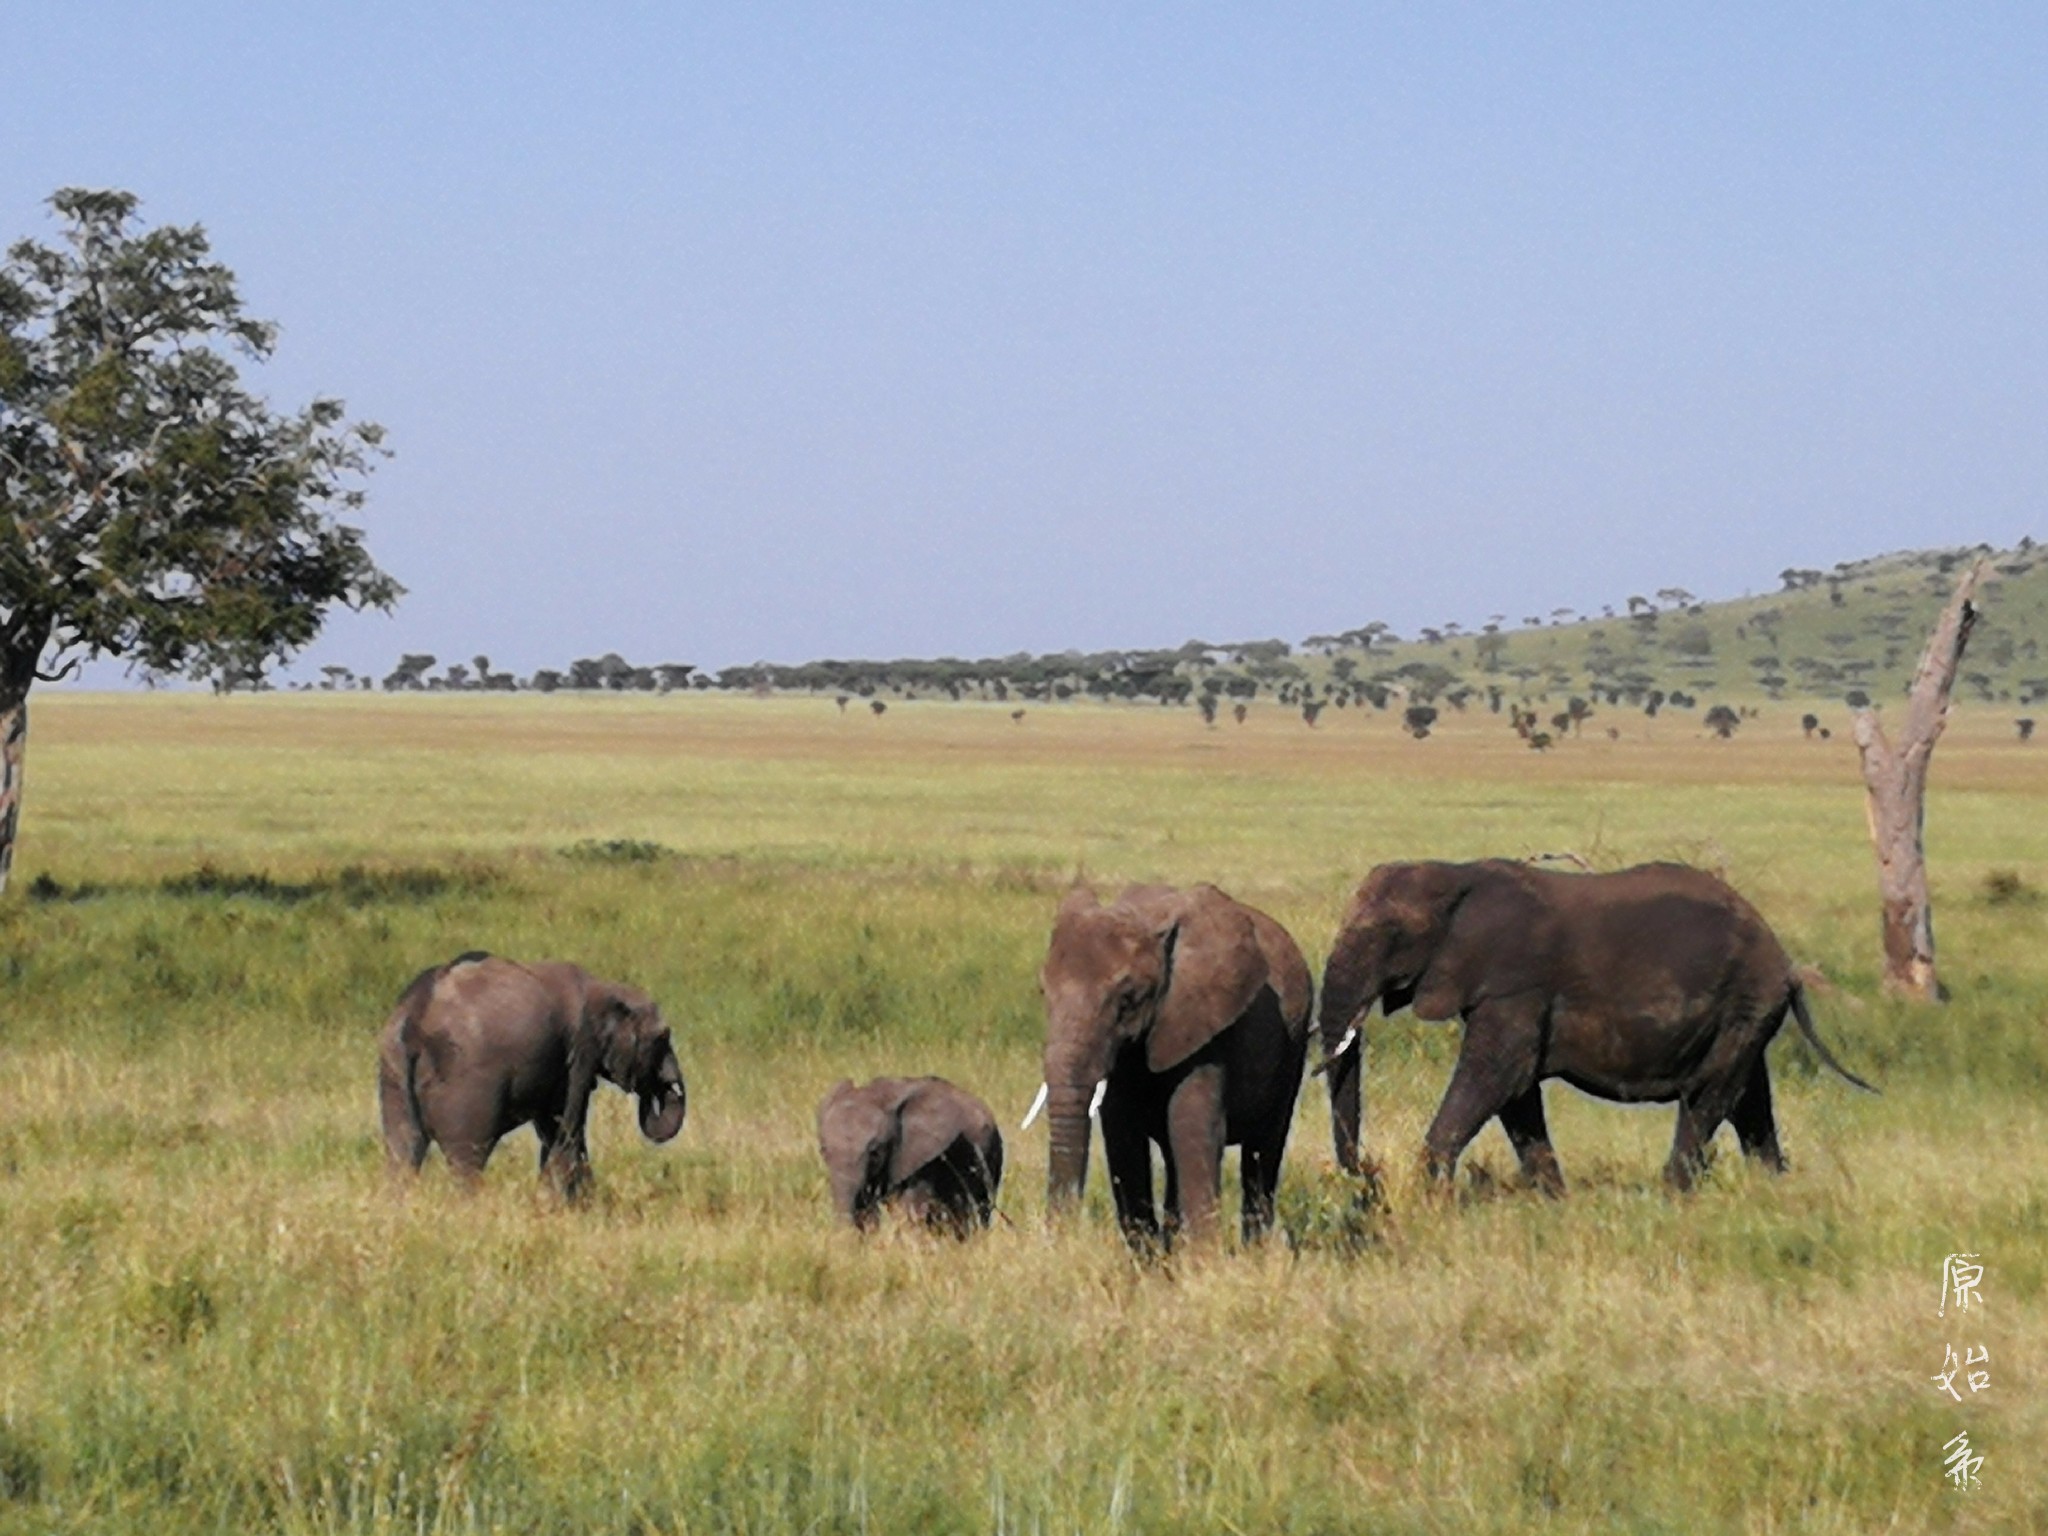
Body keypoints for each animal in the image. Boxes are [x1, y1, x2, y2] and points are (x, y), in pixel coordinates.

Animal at [372, 950, 684, 1204]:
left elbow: (553, 1127)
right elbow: (566, 1130)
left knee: (403, 1149)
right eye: (662, 1037)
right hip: (464, 1087)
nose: (660, 1088)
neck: (603, 987)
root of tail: (416, 1017)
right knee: (467, 1159)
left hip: (393, 1066)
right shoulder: (580, 1051)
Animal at [1024, 888, 1310, 1253]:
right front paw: (1152, 1262)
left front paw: (1204, 1262)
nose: (1060, 1239)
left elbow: (1193, 1128)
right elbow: (1123, 1138)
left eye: (1127, 999)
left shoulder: (1203, 1024)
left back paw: (1254, 1254)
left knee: (1263, 1150)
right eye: (1043, 992)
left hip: (1295, 1044)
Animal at [1310, 860, 1875, 1196]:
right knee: (1748, 1099)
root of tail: (1784, 962)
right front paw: (1554, 1203)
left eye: (1390, 934)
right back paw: (1776, 1190)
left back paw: (1672, 1198)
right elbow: (1516, 1097)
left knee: (1707, 1097)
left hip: (1745, 1002)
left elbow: (1498, 1077)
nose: (1362, 1176)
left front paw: (1432, 1191)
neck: (1456, 875)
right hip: (1746, 1014)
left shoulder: (1516, 984)